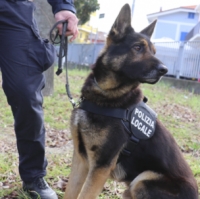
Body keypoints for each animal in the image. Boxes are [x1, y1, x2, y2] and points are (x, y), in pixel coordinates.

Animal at [63, 3, 197, 199]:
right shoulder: (81, 160)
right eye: (138, 47)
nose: (164, 70)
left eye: (154, 52)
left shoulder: (100, 167)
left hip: (142, 180)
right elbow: (70, 192)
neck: (106, 96)